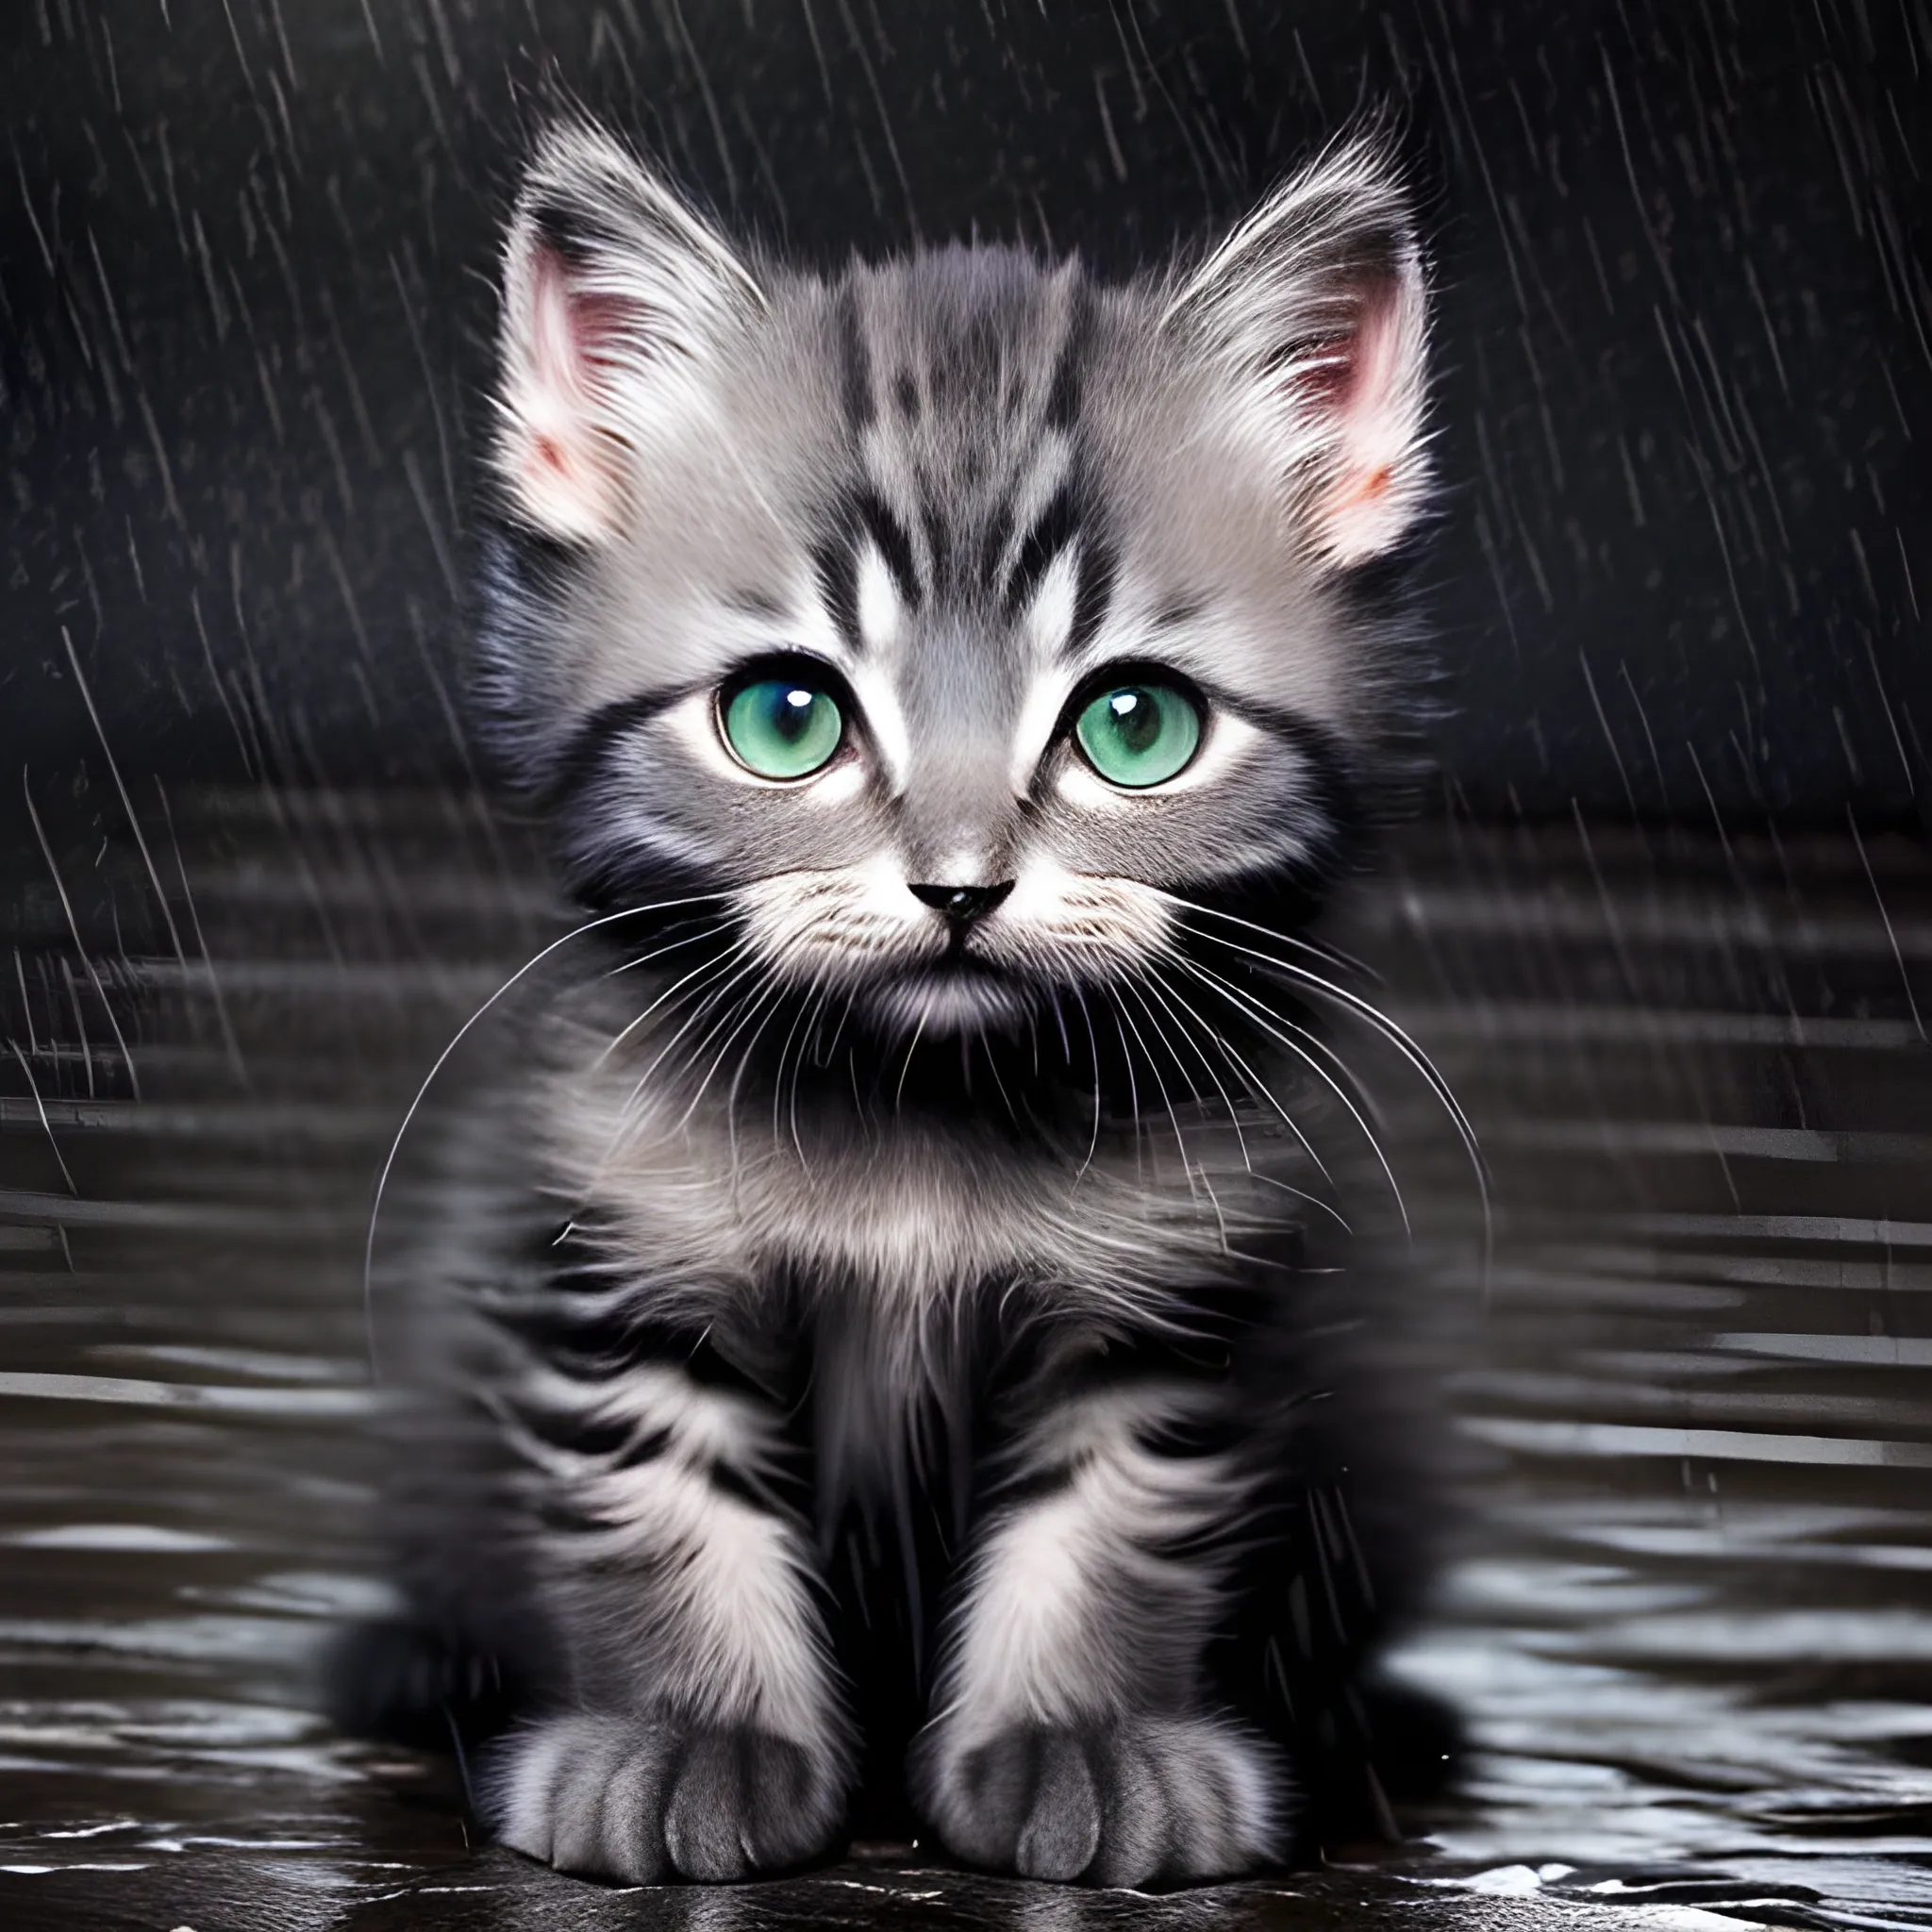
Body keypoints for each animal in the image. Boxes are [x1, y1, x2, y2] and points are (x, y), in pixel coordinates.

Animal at [336, 121, 1453, 1885]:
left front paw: (1084, 1737)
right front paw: (689, 1733)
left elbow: (1112, 1524)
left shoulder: (1171, 1304)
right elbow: (654, 1501)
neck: (920, 1111)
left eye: (1133, 727)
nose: (958, 883)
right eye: (786, 717)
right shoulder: (609, 1249)